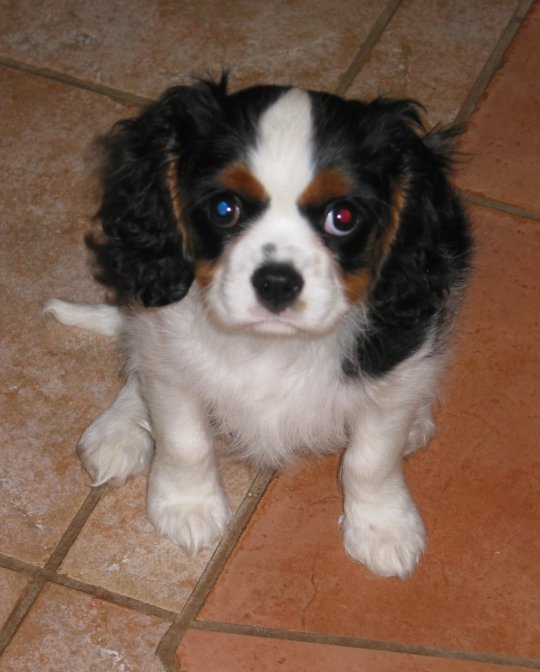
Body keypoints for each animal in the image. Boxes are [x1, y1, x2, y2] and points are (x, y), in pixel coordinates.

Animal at [45, 75, 472, 579]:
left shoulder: (398, 356)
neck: (271, 343)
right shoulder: (169, 352)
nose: (277, 282)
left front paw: (383, 528)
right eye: (224, 208)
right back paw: (120, 429)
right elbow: (183, 436)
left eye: (343, 218)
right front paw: (187, 506)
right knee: (137, 367)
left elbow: (371, 457)